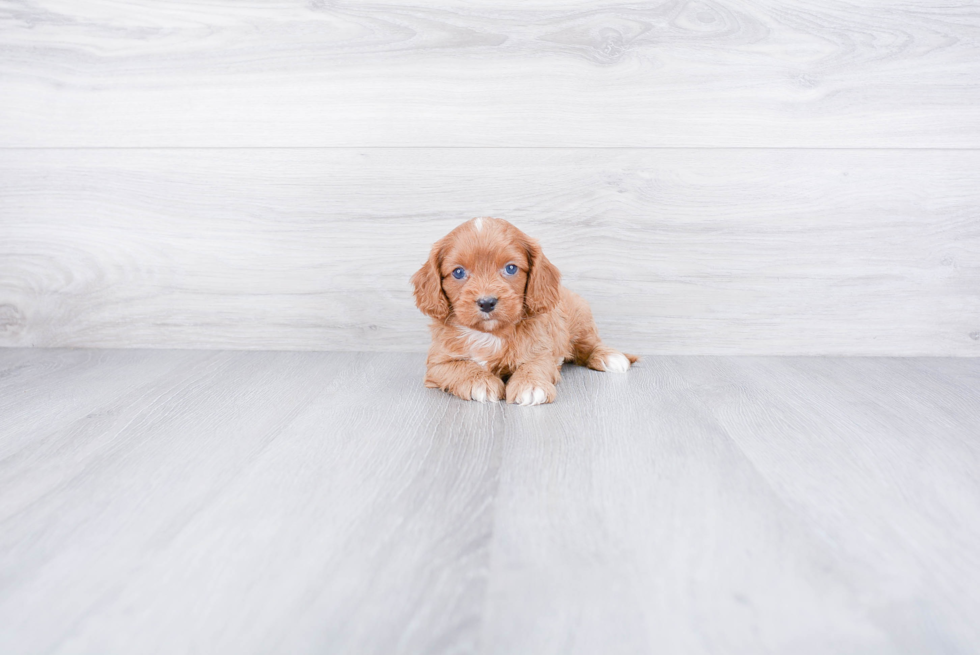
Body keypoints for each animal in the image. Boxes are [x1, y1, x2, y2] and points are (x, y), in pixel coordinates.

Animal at [412, 218, 636, 404]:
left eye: (511, 268)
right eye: (458, 272)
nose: (487, 302)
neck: (491, 333)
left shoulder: (541, 351)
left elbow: (533, 365)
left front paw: (531, 385)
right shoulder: (437, 363)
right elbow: (460, 366)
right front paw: (480, 382)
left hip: (582, 320)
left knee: (590, 345)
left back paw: (610, 357)